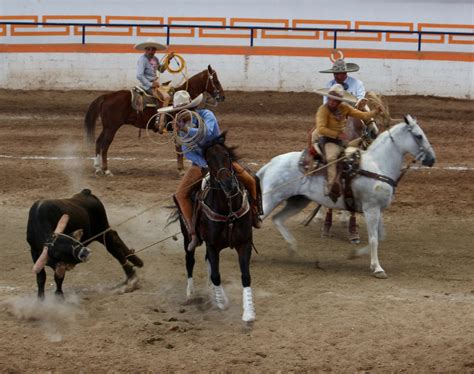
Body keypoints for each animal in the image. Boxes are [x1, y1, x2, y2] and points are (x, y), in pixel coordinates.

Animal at [83, 65, 224, 176]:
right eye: (216, 80)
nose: (222, 96)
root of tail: (106, 96)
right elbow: (179, 148)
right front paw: (181, 170)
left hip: (107, 127)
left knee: (98, 142)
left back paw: (97, 168)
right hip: (112, 128)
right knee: (105, 145)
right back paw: (106, 170)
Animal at [176, 134, 256, 322]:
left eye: (227, 156)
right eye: (209, 161)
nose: (228, 184)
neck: (228, 210)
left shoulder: (244, 243)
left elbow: (245, 276)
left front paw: (248, 313)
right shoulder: (213, 245)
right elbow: (215, 274)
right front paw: (222, 302)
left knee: (207, 262)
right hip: (187, 238)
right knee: (190, 260)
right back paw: (190, 293)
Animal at [258, 115, 436, 280]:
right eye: (419, 136)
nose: (432, 159)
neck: (377, 165)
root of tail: (272, 162)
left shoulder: (378, 209)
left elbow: (380, 237)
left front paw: (356, 255)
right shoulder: (371, 208)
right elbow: (373, 239)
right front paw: (378, 269)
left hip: (298, 201)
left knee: (277, 219)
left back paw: (292, 248)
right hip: (272, 198)